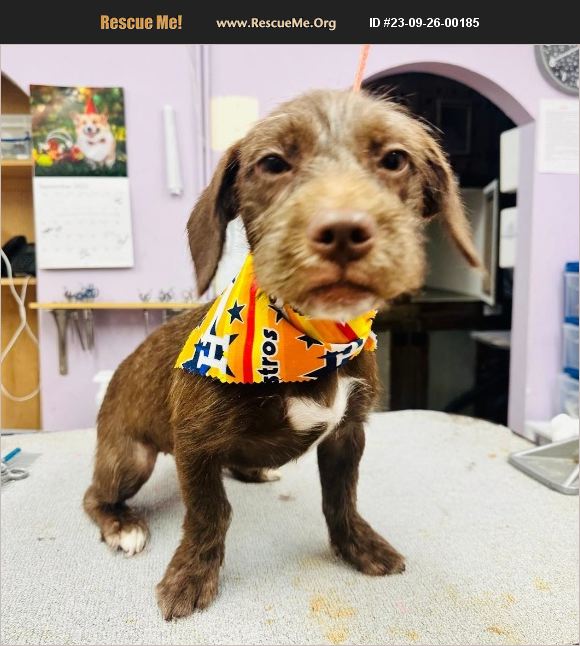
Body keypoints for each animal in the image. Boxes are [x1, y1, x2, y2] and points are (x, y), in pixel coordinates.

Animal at [83, 89, 480, 620]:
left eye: (395, 159)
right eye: (273, 163)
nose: (342, 231)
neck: (313, 341)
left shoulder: (347, 435)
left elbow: (342, 500)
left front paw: (358, 546)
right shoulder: (194, 447)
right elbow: (209, 514)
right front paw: (191, 576)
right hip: (130, 458)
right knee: (94, 495)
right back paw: (121, 524)